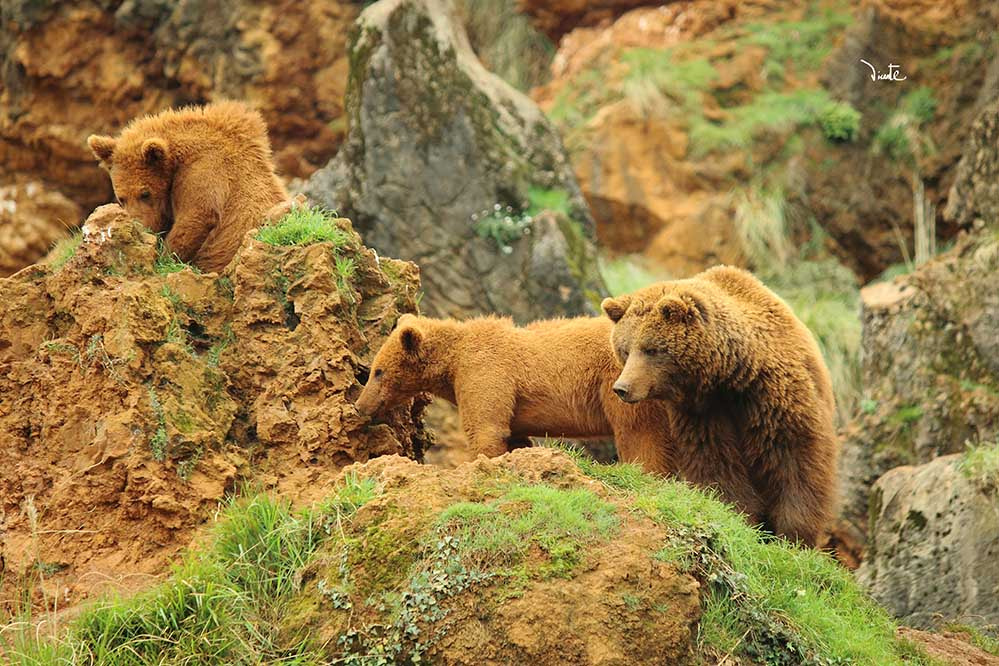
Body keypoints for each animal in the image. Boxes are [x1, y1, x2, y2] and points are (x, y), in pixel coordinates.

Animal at [87, 101, 290, 273]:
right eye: (121, 198)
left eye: (145, 193)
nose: (139, 227)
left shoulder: (204, 170)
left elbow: (197, 215)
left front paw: (162, 258)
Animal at [355, 313, 676, 472]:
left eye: (377, 371)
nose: (360, 405)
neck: (454, 358)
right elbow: (514, 436)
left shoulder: (485, 370)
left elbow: (486, 428)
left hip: (623, 384)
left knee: (637, 431)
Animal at [601, 265, 838, 546]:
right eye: (625, 350)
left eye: (651, 349)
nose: (622, 388)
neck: (730, 376)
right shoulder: (703, 414)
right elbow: (717, 464)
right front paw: (740, 517)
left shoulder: (775, 398)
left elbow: (796, 463)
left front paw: (792, 537)